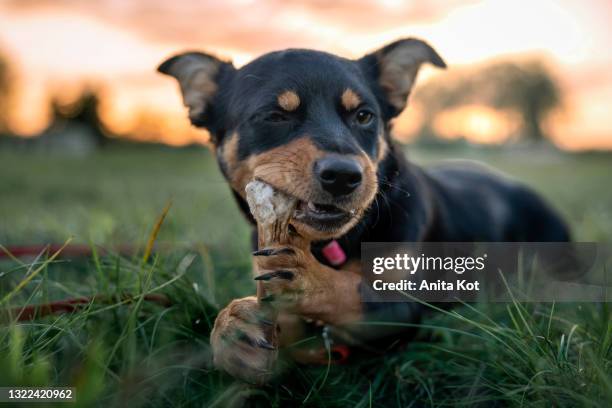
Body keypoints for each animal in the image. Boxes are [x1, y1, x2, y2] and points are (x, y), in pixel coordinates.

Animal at [158, 37, 568, 382]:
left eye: (364, 116)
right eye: (275, 116)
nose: (343, 176)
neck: (337, 244)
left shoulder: (404, 310)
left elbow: (352, 293)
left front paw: (309, 279)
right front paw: (234, 328)